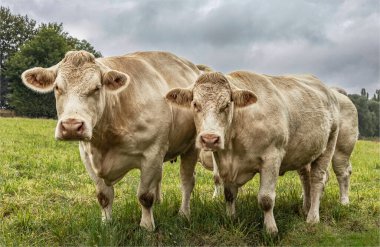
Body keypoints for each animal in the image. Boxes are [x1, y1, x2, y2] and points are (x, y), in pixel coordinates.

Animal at [21, 50, 202, 232]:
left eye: (96, 88)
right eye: (57, 87)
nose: (71, 126)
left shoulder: (152, 152)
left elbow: (144, 195)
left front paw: (146, 226)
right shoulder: (87, 156)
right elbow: (104, 196)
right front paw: (106, 223)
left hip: (191, 148)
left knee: (187, 181)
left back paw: (184, 214)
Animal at [166, 71, 342, 233]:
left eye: (226, 105)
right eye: (195, 104)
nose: (210, 139)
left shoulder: (272, 157)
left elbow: (266, 199)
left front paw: (271, 229)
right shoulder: (224, 163)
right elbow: (229, 194)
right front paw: (231, 219)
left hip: (329, 143)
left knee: (317, 180)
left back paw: (312, 217)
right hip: (304, 152)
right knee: (305, 178)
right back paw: (306, 207)